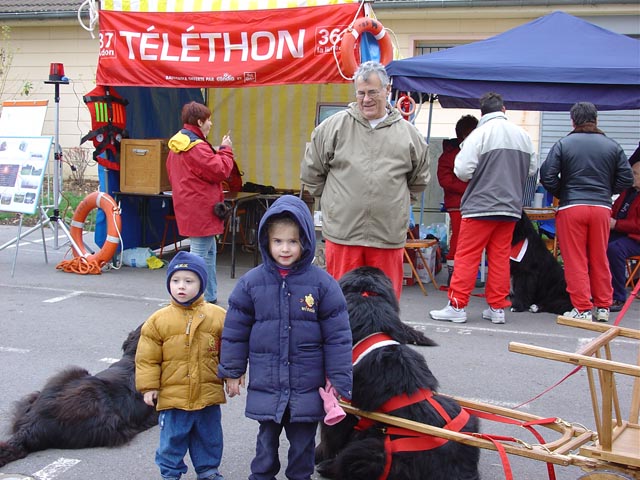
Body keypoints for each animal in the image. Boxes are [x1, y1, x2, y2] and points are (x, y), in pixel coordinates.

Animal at [316, 266, 480, 480]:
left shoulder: (341, 407)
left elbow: (329, 435)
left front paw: (319, 455)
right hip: (463, 414)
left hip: (372, 450)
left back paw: (327, 467)